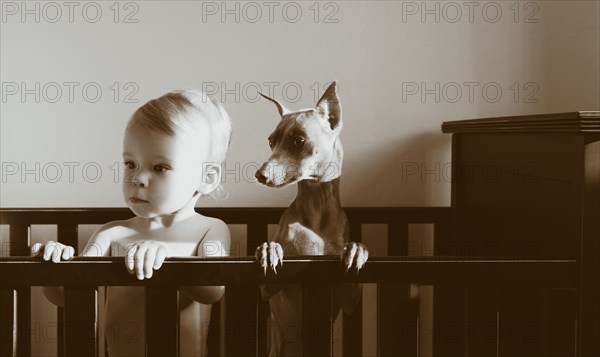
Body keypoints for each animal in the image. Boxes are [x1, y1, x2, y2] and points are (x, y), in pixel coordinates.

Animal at [254, 81, 368, 356]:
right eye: (271, 141)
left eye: (298, 140)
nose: (260, 175)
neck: (316, 211)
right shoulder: (269, 290)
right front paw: (269, 250)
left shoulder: (348, 298)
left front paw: (356, 250)